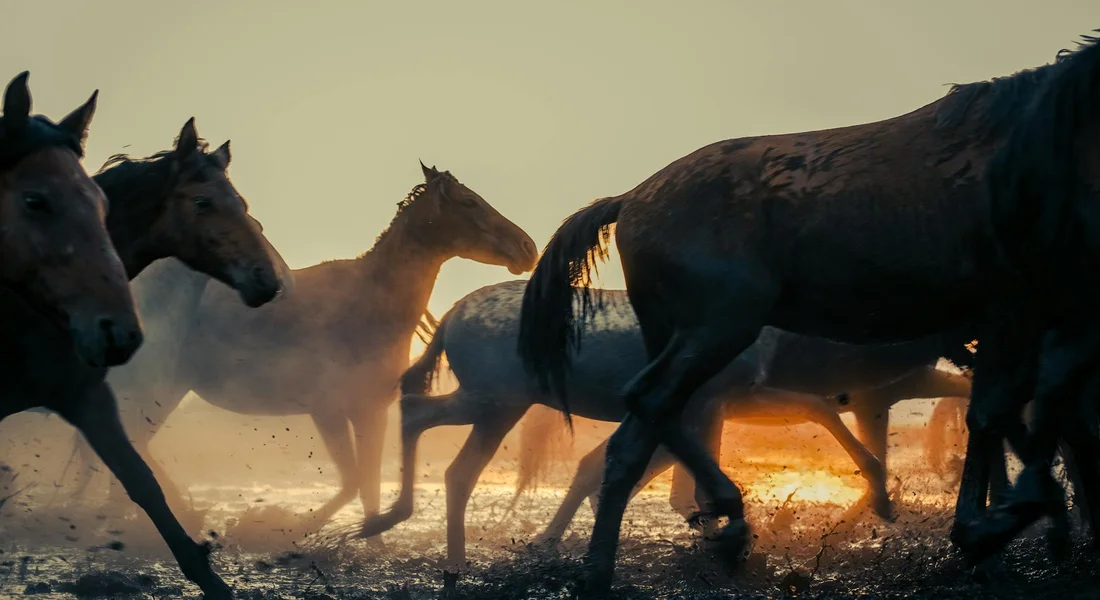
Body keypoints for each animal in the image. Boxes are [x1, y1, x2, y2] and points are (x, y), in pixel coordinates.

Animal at [0, 117, 289, 600]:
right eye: (203, 201)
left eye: (245, 207)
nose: (268, 280)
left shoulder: (90, 399)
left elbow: (144, 482)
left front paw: (211, 577)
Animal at [64, 162, 538, 533]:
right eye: (470, 203)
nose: (528, 247)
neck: (367, 302)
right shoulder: (328, 410)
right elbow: (352, 482)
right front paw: (300, 528)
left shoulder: (370, 411)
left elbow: (367, 486)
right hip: (159, 388)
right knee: (132, 445)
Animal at [356, 279, 971, 566]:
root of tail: (451, 315)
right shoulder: (724, 397)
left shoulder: (718, 401)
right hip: (493, 400)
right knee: (417, 416)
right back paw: (396, 523)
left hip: (498, 405)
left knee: (450, 459)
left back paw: (448, 556)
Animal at [515, 34, 1100, 596]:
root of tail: (633, 197)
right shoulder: (1020, 311)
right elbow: (1009, 417)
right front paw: (997, 532)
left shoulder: (1035, 321)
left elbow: (1031, 418)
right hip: (719, 326)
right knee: (649, 403)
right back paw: (726, 521)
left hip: (684, 335)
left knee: (633, 440)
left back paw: (604, 571)